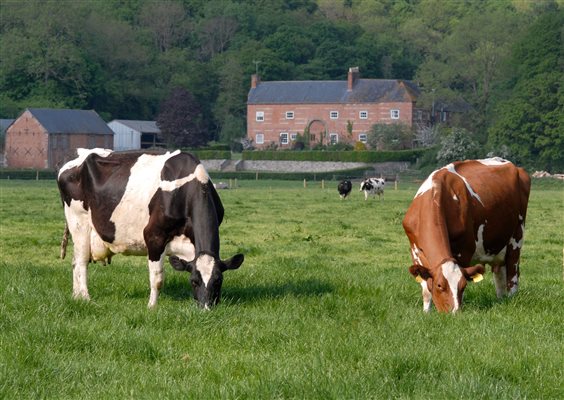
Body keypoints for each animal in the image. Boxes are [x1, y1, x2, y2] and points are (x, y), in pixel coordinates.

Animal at [57, 148, 245, 308]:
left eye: (218, 281)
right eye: (194, 281)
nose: (206, 308)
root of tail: (81, 154)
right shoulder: (154, 236)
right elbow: (157, 278)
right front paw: (152, 306)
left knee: (74, 261)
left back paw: (76, 296)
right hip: (78, 222)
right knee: (81, 262)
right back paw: (86, 298)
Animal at [404, 159, 532, 312]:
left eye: (463, 285)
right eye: (439, 285)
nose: (453, 313)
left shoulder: (464, 250)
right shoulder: (415, 251)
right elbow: (426, 289)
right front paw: (426, 313)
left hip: (517, 237)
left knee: (512, 274)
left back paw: (512, 298)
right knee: (499, 275)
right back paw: (501, 300)